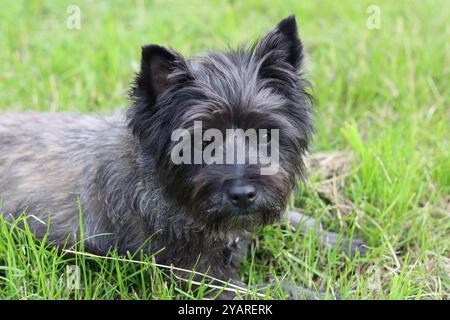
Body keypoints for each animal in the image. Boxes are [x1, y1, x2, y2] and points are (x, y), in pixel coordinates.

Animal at [0, 16, 364, 298]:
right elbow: (278, 288)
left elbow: (297, 219)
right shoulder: (200, 280)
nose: (243, 194)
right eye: (201, 140)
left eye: (265, 132)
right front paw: (330, 293)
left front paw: (343, 242)